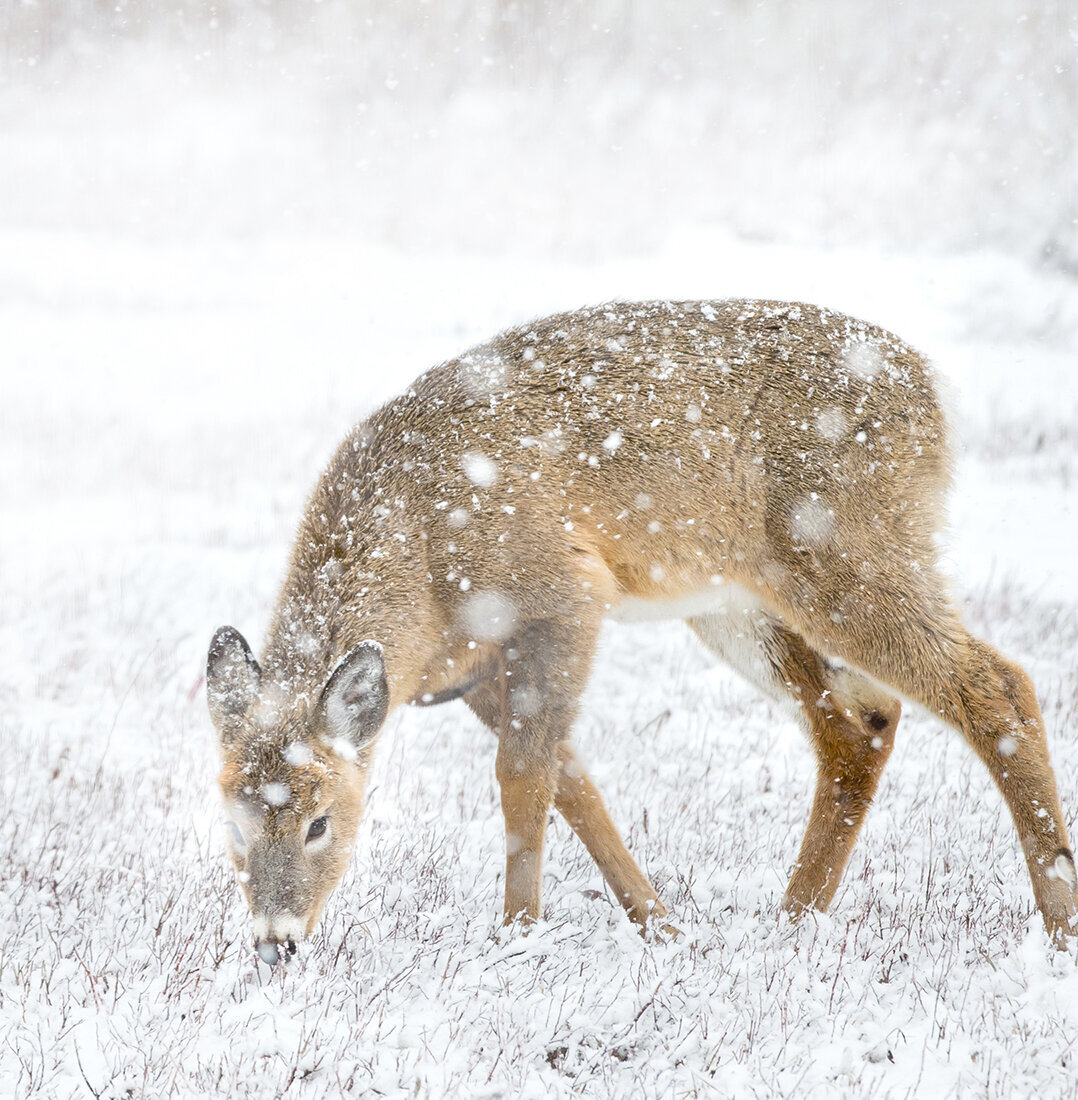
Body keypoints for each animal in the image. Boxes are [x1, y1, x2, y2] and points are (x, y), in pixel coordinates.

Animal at [206, 299, 1073, 963]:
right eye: (233, 824)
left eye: (321, 822)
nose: (276, 943)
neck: (421, 560)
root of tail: (934, 393)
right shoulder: (475, 669)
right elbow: (573, 782)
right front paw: (662, 926)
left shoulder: (562, 597)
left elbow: (523, 777)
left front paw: (517, 936)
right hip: (737, 601)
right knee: (860, 720)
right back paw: (792, 920)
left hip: (850, 549)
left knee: (996, 684)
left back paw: (1058, 924)